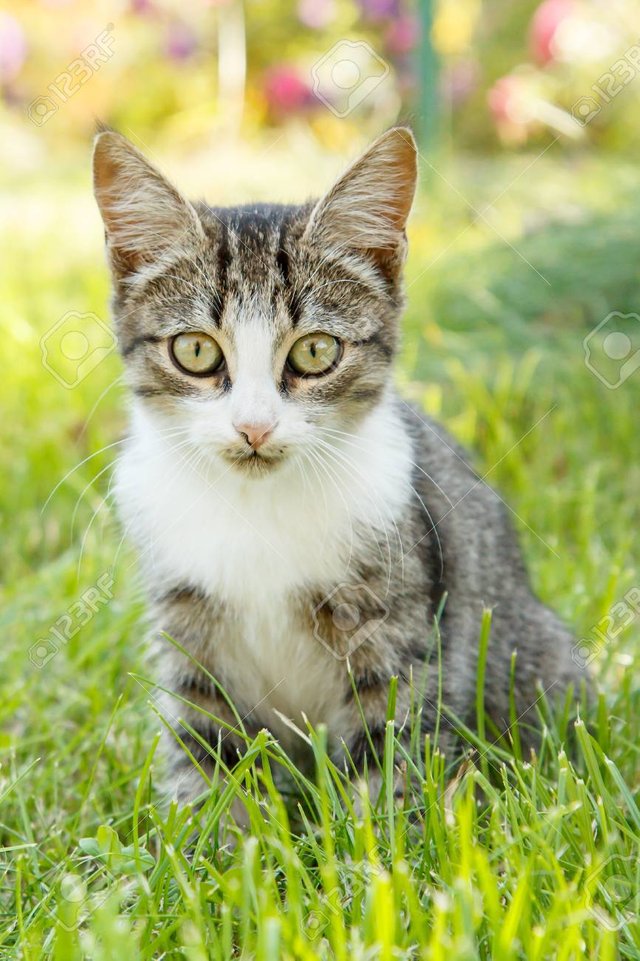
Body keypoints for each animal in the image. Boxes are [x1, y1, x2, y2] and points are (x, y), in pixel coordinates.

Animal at [92, 124, 584, 808]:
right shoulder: (187, 625)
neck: (256, 508)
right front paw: (209, 828)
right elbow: (207, 747)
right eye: (194, 350)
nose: (254, 427)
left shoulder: (397, 616)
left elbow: (390, 741)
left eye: (315, 351)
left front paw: (383, 834)